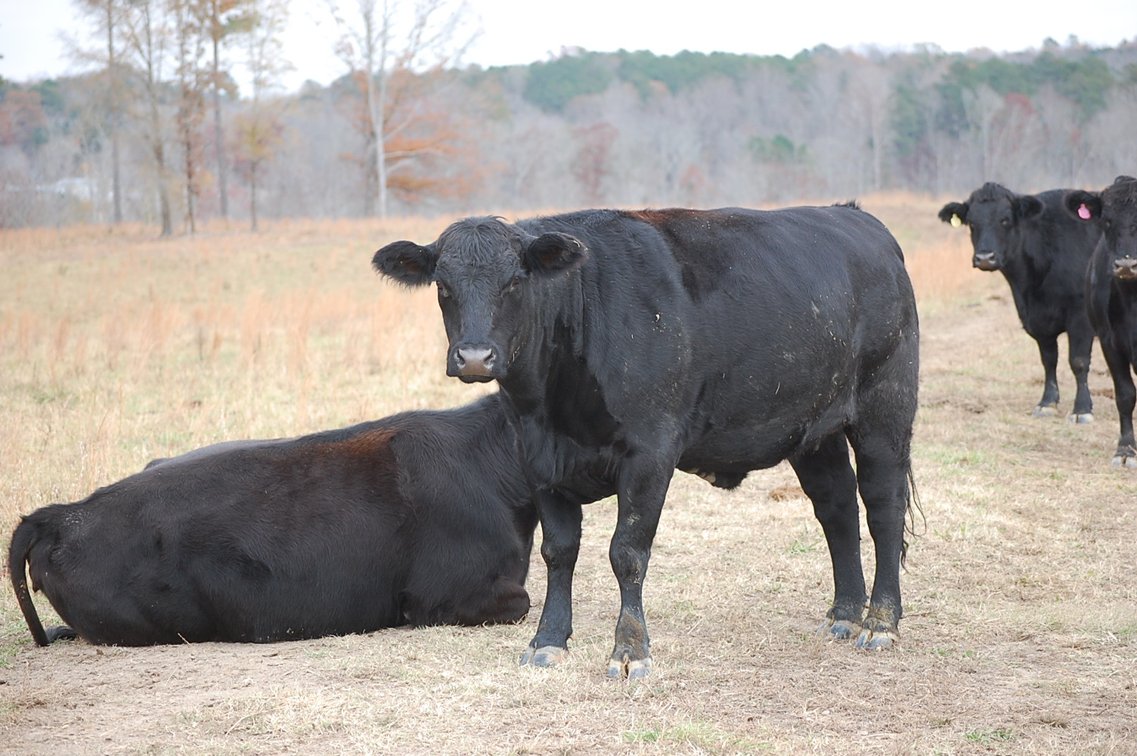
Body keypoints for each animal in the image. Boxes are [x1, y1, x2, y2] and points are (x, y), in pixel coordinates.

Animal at [373, 204, 920, 679]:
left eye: (514, 281)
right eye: (443, 285)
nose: (474, 357)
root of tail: (858, 217)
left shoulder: (650, 455)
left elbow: (627, 552)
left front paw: (630, 651)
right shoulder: (540, 462)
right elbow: (559, 552)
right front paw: (548, 641)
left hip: (885, 410)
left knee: (883, 508)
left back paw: (881, 621)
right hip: (813, 431)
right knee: (837, 508)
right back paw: (845, 614)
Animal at [938, 183, 1101, 422]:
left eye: (1005, 220)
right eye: (972, 222)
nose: (985, 258)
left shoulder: (1080, 317)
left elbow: (1078, 361)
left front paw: (1082, 409)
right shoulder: (1037, 319)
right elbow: (1049, 359)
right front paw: (1047, 403)